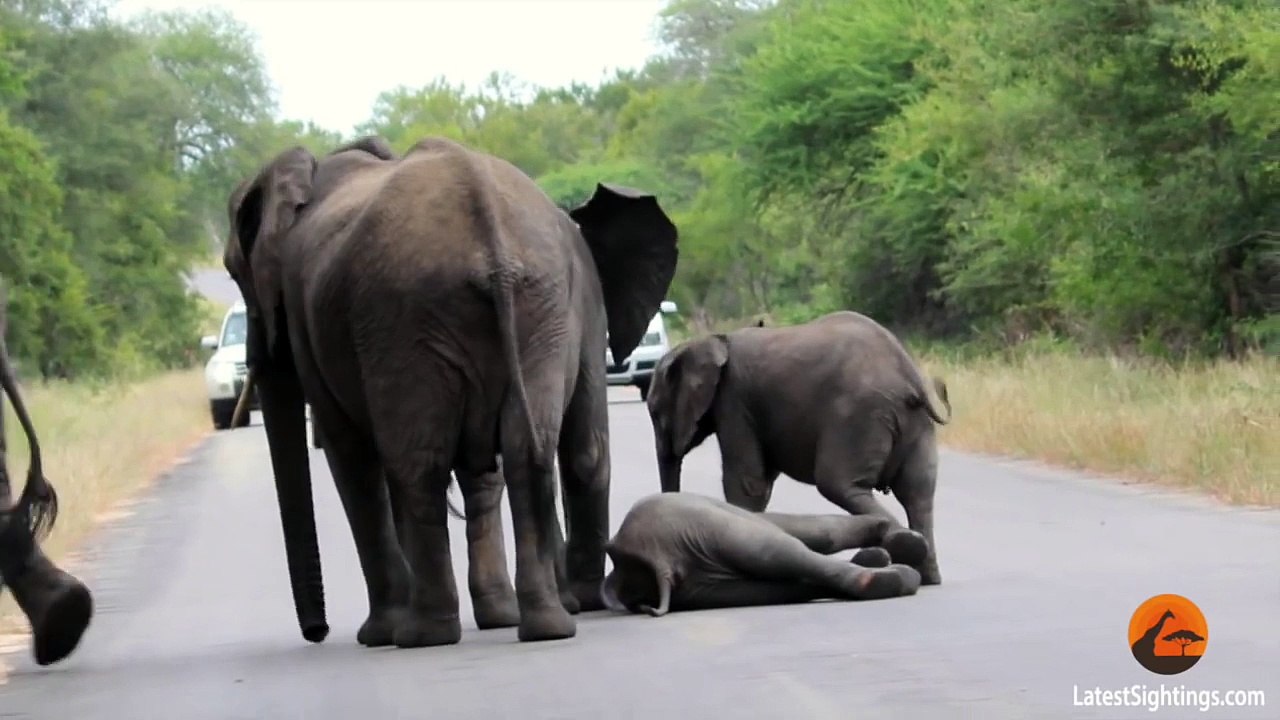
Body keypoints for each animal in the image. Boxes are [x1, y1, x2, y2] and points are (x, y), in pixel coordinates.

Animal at [222, 135, 678, 647]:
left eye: (234, 271)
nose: (317, 632)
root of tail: (487, 229)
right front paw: (497, 616)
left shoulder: (310, 319)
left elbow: (353, 459)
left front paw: (378, 635)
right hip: (529, 308)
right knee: (538, 450)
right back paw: (548, 625)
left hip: (402, 318)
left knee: (418, 465)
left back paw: (423, 635)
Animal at [601, 492, 926, 616]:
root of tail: (659, 565)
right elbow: (819, 535)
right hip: (702, 527)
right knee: (778, 549)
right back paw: (903, 573)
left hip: (700, 587)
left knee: (783, 576)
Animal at [645, 310, 951, 586]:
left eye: (656, 412)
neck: (713, 341)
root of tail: (909, 378)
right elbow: (761, 483)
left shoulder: (734, 401)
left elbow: (747, 483)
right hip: (914, 425)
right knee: (918, 493)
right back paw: (927, 576)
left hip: (858, 416)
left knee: (839, 484)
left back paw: (904, 551)